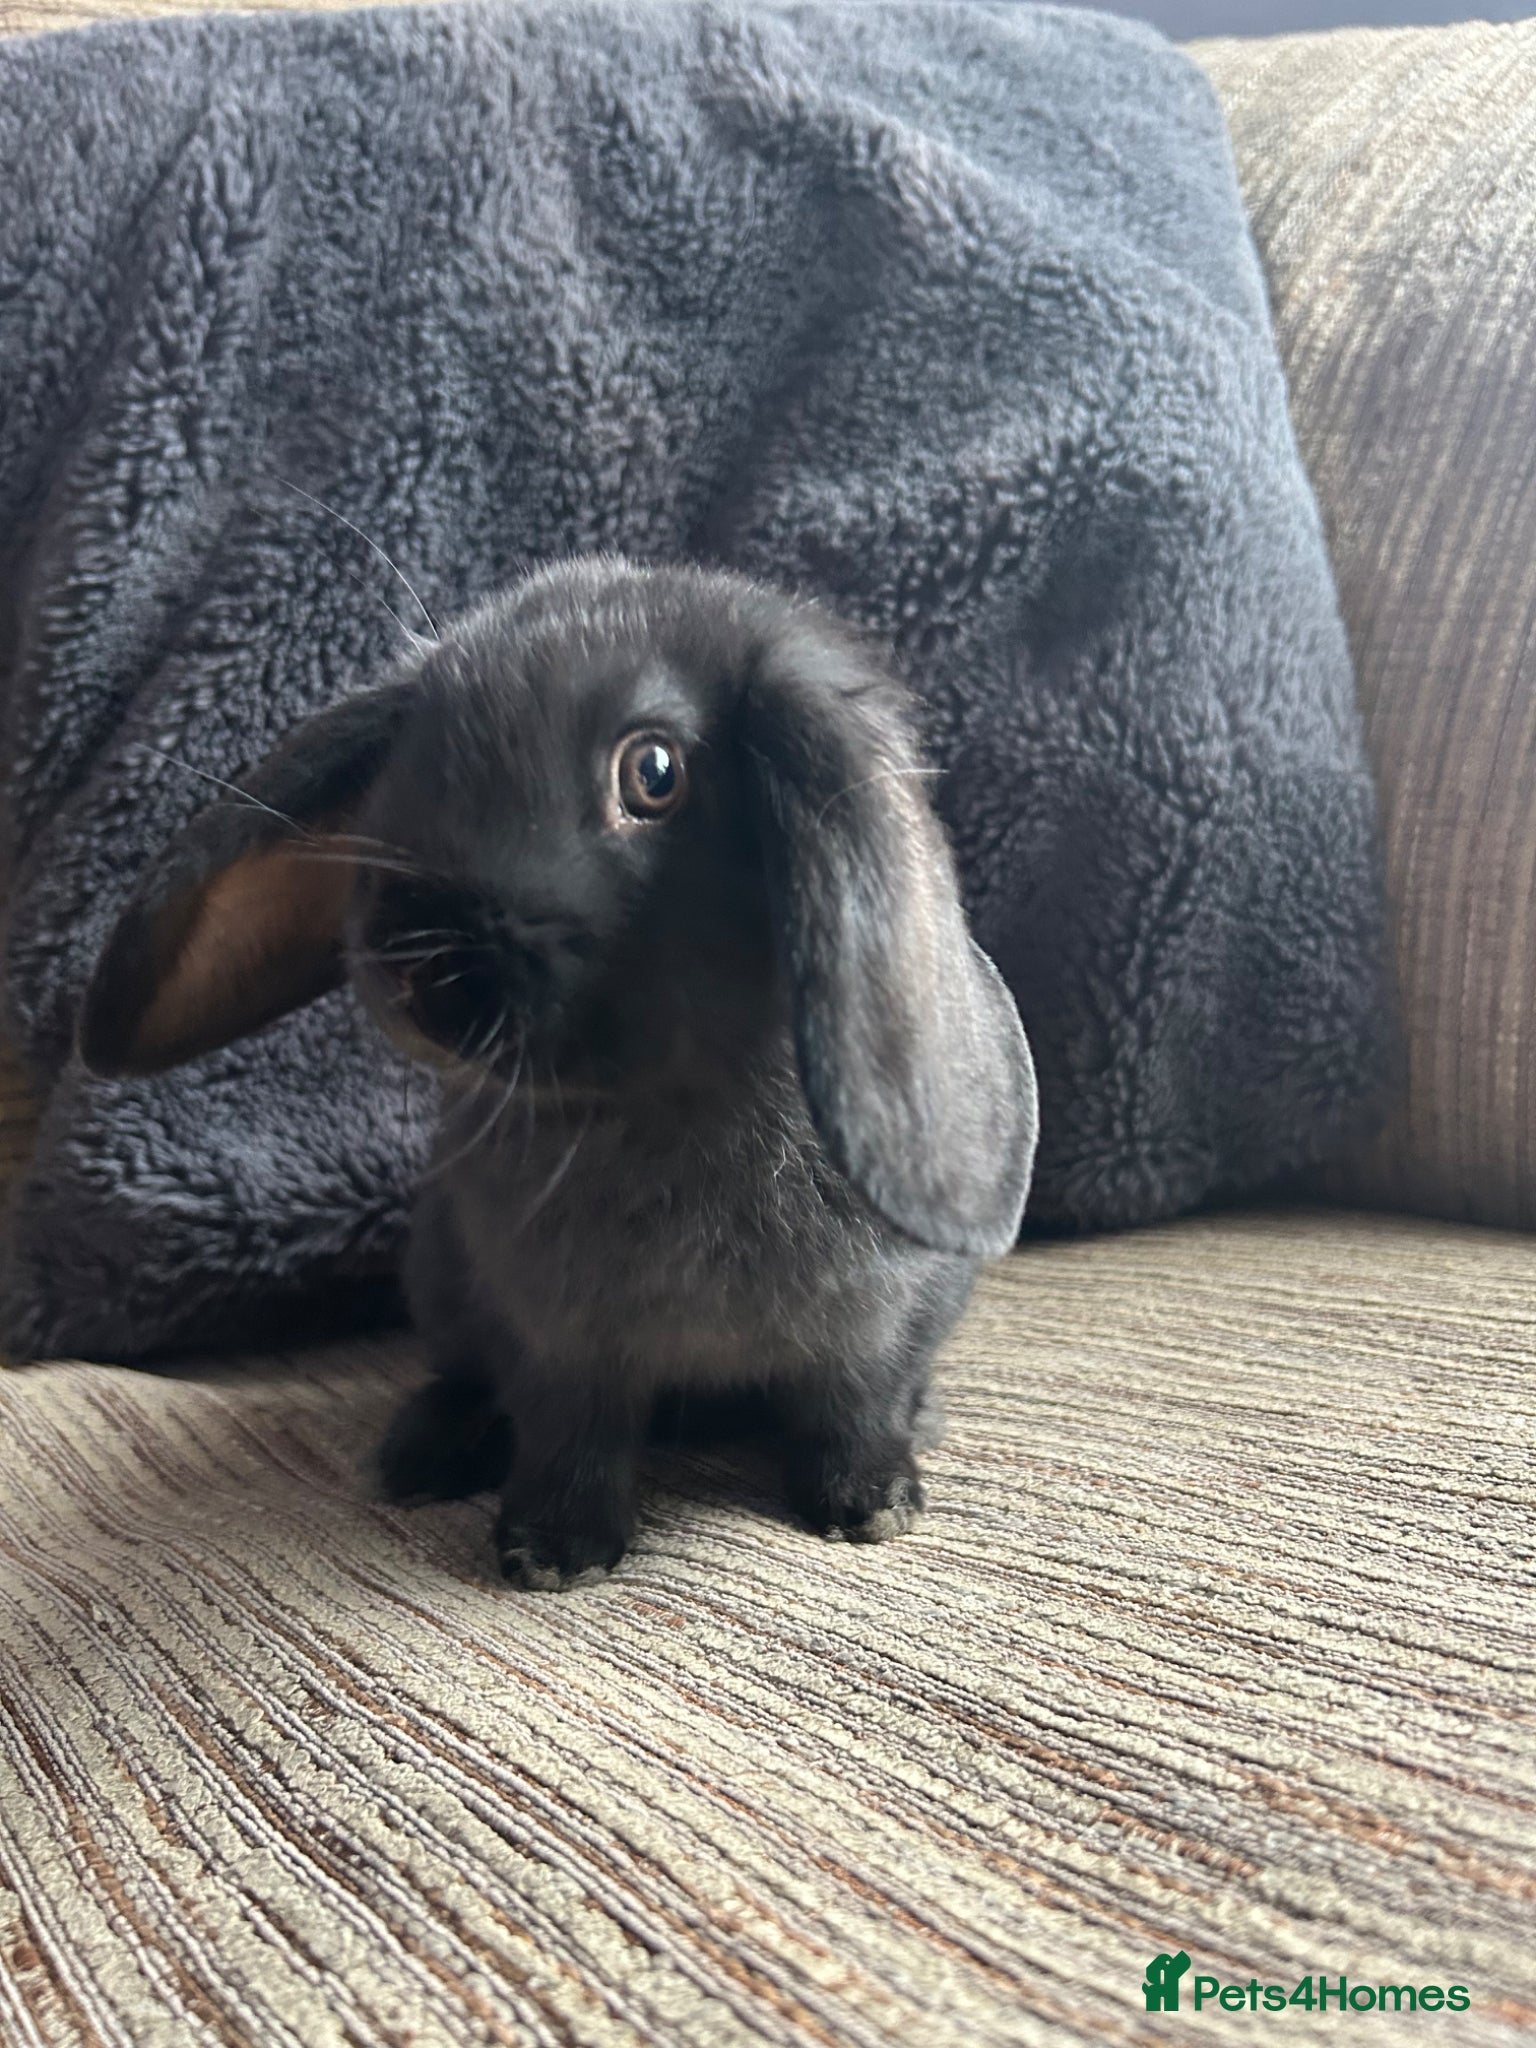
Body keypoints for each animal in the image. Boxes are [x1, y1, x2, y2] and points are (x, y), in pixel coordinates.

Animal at [79, 558, 1037, 1588]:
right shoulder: (556, 1342)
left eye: (654, 773)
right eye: (406, 763)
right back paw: (419, 1459)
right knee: (462, 1379)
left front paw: (871, 1506)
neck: (665, 1103)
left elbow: (852, 1409)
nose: (418, 967)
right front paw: (552, 1553)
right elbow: (571, 1437)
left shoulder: (872, 1323)